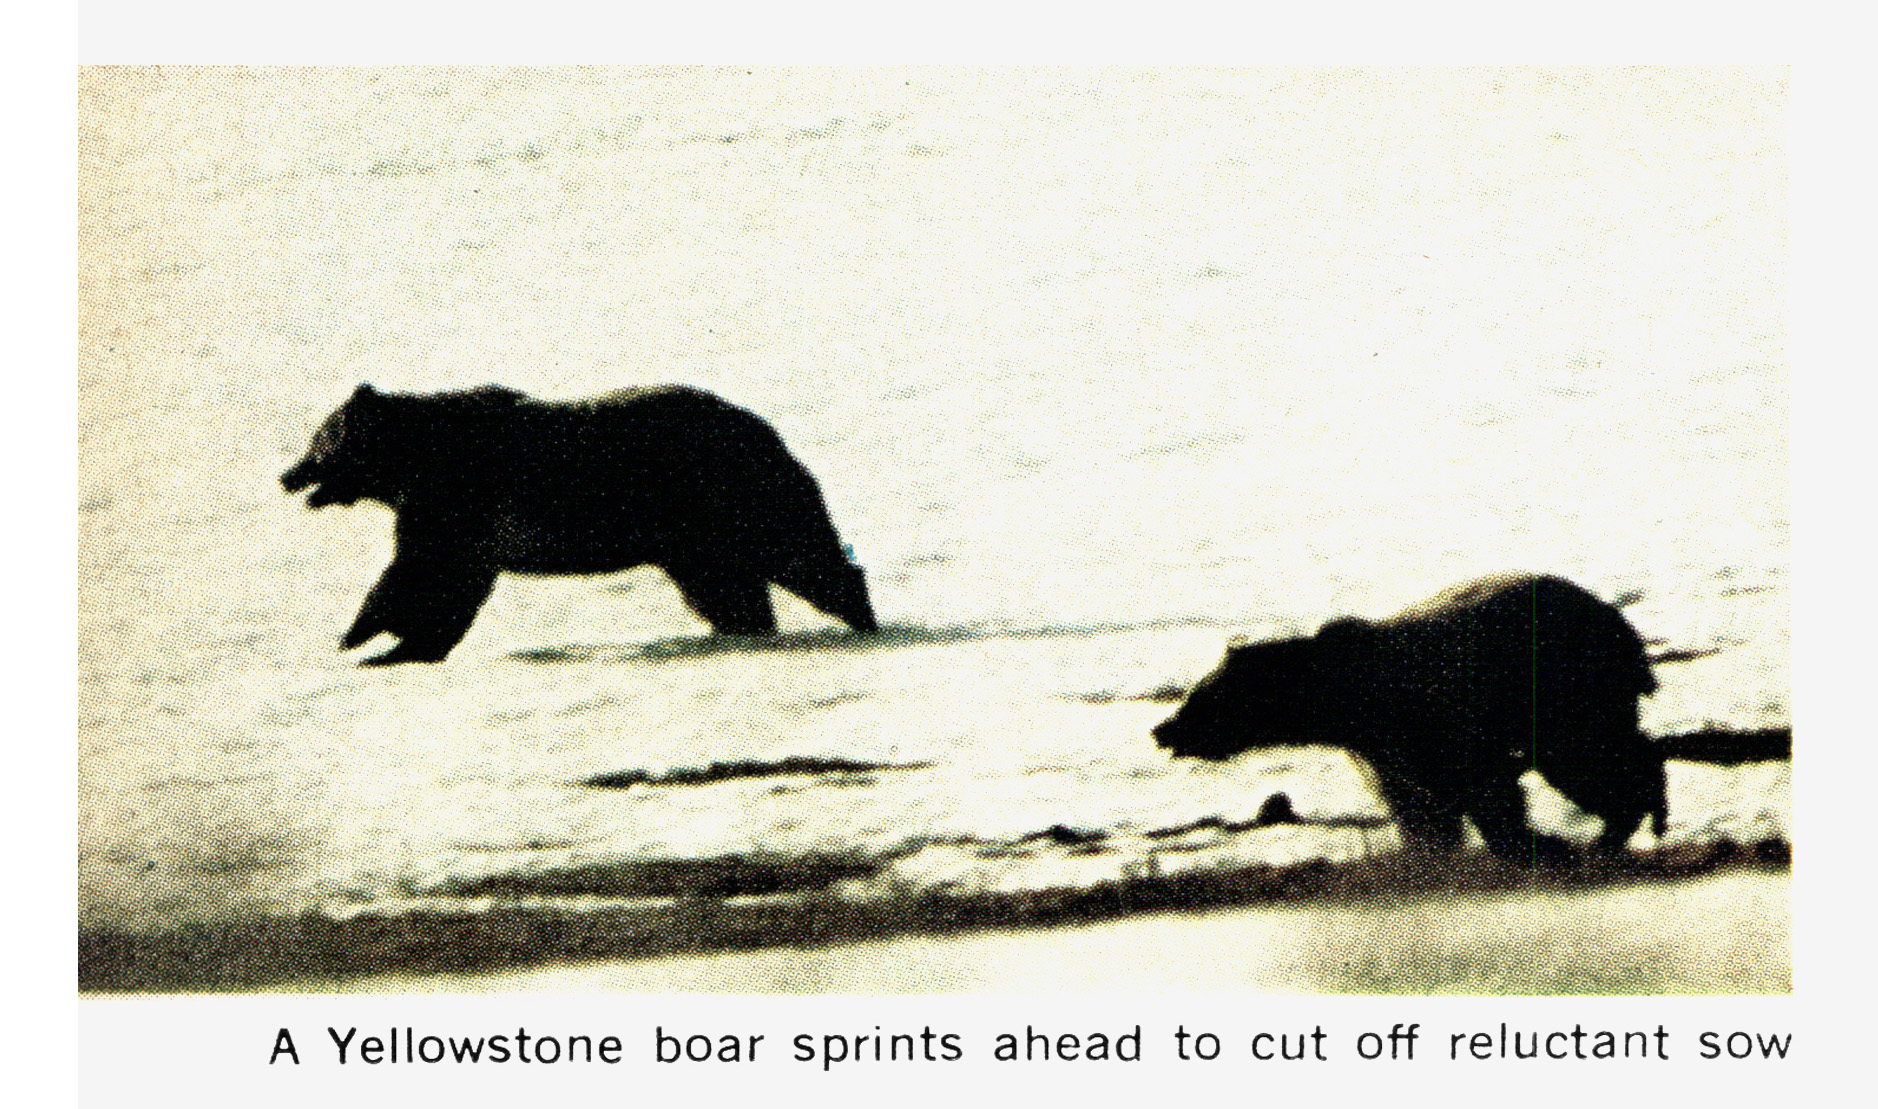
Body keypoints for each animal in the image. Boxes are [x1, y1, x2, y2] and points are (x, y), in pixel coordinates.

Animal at [281, 383, 878, 664]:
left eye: (318, 440)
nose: (287, 476)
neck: (413, 458)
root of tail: (766, 428)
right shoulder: (460, 516)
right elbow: (451, 584)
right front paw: (401, 647)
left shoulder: (455, 498)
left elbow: (421, 568)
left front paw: (358, 636)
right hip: (691, 538)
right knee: (727, 586)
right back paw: (741, 628)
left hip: (725, 499)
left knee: (796, 551)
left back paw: (861, 616)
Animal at [1151, 573, 1667, 866]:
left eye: (1200, 696)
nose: (1163, 729)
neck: (1342, 701)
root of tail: (1618, 622)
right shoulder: (1382, 748)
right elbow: (1419, 805)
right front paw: (1429, 848)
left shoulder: (1431, 718)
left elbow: (1481, 787)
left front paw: (1535, 842)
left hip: (1564, 687)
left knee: (1583, 758)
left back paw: (1621, 825)